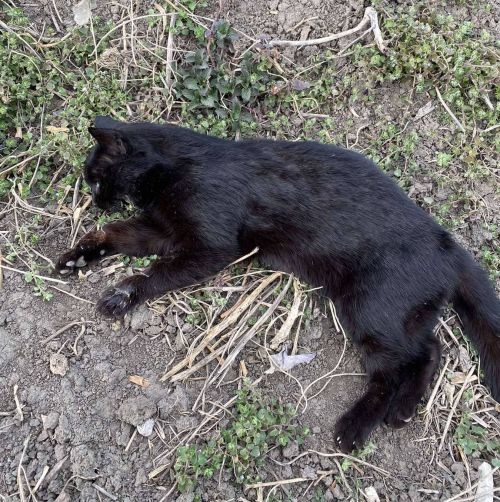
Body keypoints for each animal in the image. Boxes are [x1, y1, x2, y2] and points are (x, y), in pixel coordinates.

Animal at [56, 116, 500, 452]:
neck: (178, 168)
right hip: (398, 313)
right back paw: (404, 409)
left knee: (396, 368)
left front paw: (123, 295)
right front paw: (77, 256)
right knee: (430, 350)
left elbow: (158, 272)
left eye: (95, 179)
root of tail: (448, 246)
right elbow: (118, 234)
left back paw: (355, 428)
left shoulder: (210, 245)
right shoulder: (163, 230)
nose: (94, 201)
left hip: (369, 307)